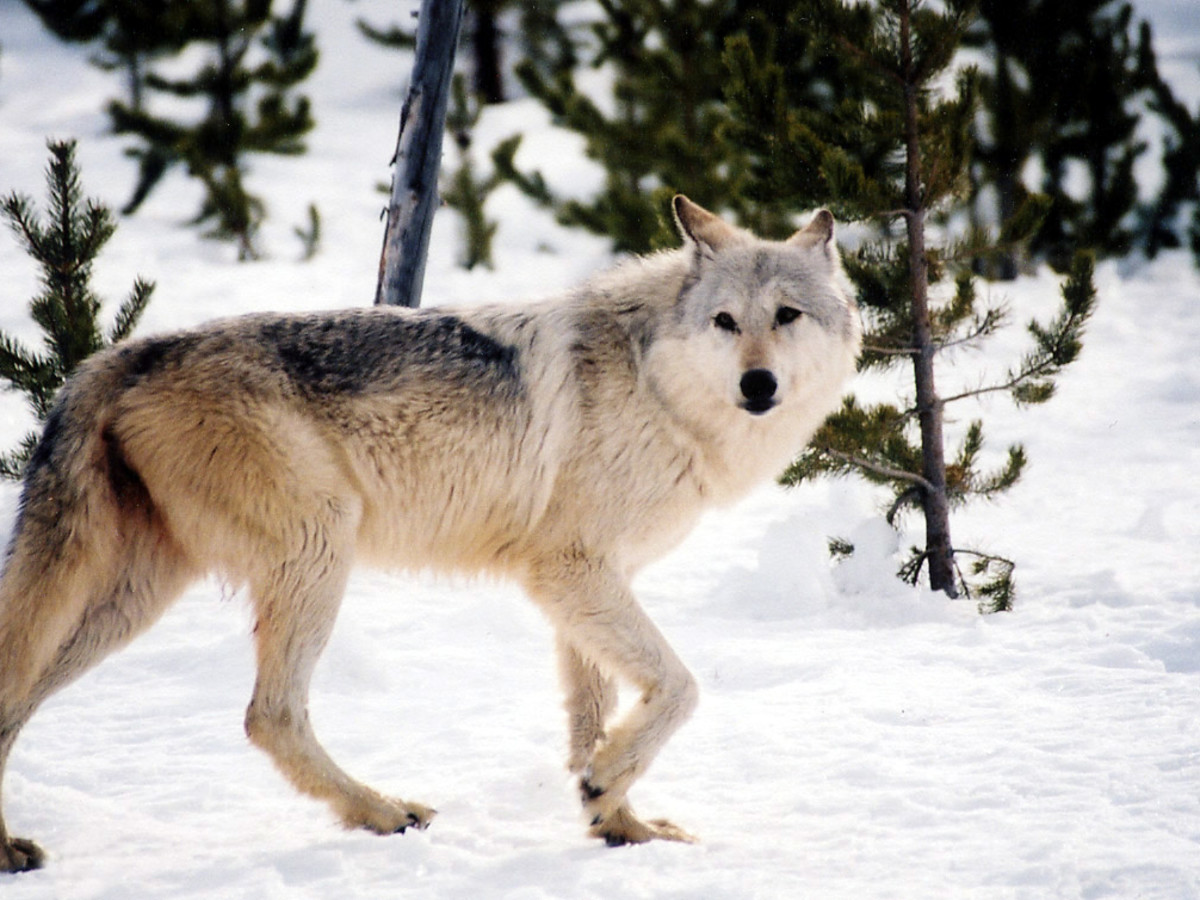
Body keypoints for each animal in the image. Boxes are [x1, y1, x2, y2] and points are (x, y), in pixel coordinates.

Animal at [0, 196, 860, 870]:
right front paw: (608, 791)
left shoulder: (581, 584)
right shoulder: (569, 569)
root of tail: (117, 356)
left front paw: (617, 821)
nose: (758, 384)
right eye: (725, 322)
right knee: (270, 715)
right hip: (317, 551)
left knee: (21, 699)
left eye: (787, 316)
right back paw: (382, 812)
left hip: (130, 599)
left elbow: (594, 717)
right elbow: (680, 688)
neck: (655, 384)